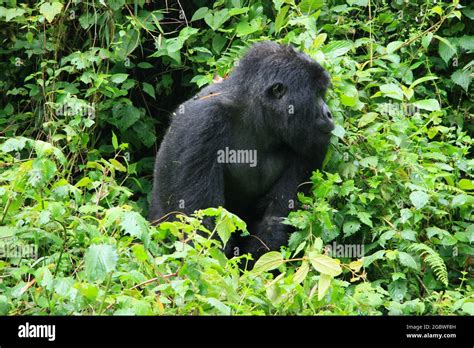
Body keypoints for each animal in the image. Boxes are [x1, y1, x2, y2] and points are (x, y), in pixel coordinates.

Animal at [149, 40, 334, 264]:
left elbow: (274, 219)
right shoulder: (201, 122)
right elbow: (201, 223)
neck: (256, 115)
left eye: (322, 94)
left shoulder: (313, 141)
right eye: (316, 95)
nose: (329, 114)